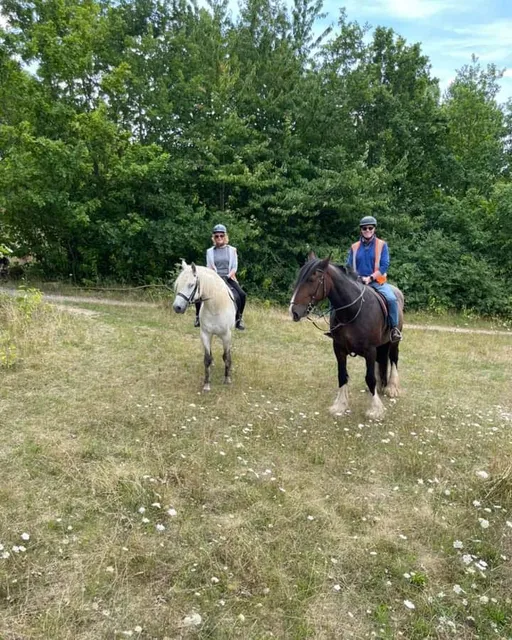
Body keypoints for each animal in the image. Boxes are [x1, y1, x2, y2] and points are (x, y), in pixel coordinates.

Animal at [172, 260, 236, 392]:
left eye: (191, 285)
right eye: (178, 284)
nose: (177, 307)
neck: (215, 307)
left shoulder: (226, 335)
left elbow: (226, 356)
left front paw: (227, 379)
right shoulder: (205, 334)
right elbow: (207, 359)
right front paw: (206, 384)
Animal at [289, 254, 404, 419]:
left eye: (311, 279)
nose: (293, 311)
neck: (352, 310)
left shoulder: (370, 350)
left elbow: (370, 378)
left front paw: (375, 409)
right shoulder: (339, 348)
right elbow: (342, 375)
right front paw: (340, 405)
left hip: (394, 341)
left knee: (394, 359)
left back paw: (392, 388)